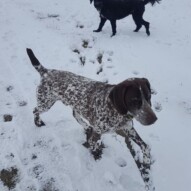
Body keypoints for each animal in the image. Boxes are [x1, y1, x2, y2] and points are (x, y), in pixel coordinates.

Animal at [27, 48, 158, 190]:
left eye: (149, 96)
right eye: (134, 100)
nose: (154, 119)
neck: (116, 111)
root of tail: (46, 71)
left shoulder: (129, 129)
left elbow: (145, 147)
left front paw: (146, 163)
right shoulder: (98, 134)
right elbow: (94, 146)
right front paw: (97, 158)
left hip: (74, 105)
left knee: (75, 114)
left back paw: (86, 126)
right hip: (46, 103)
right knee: (35, 110)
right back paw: (38, 122)